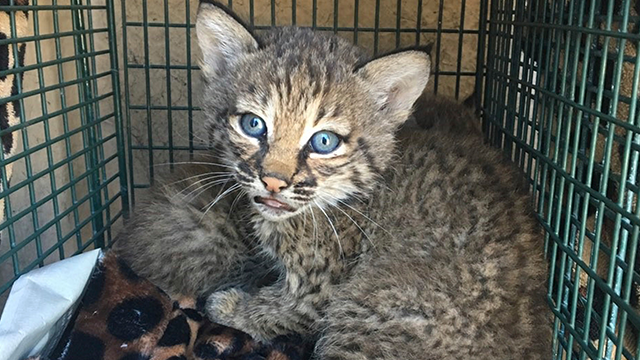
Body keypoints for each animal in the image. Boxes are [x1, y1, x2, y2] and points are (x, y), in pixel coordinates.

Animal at [112, 2, 552, 358]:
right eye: (253, 124)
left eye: (324, 142)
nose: (273, 182)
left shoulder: (319, 292)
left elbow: (277, 310)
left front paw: (229, 306)